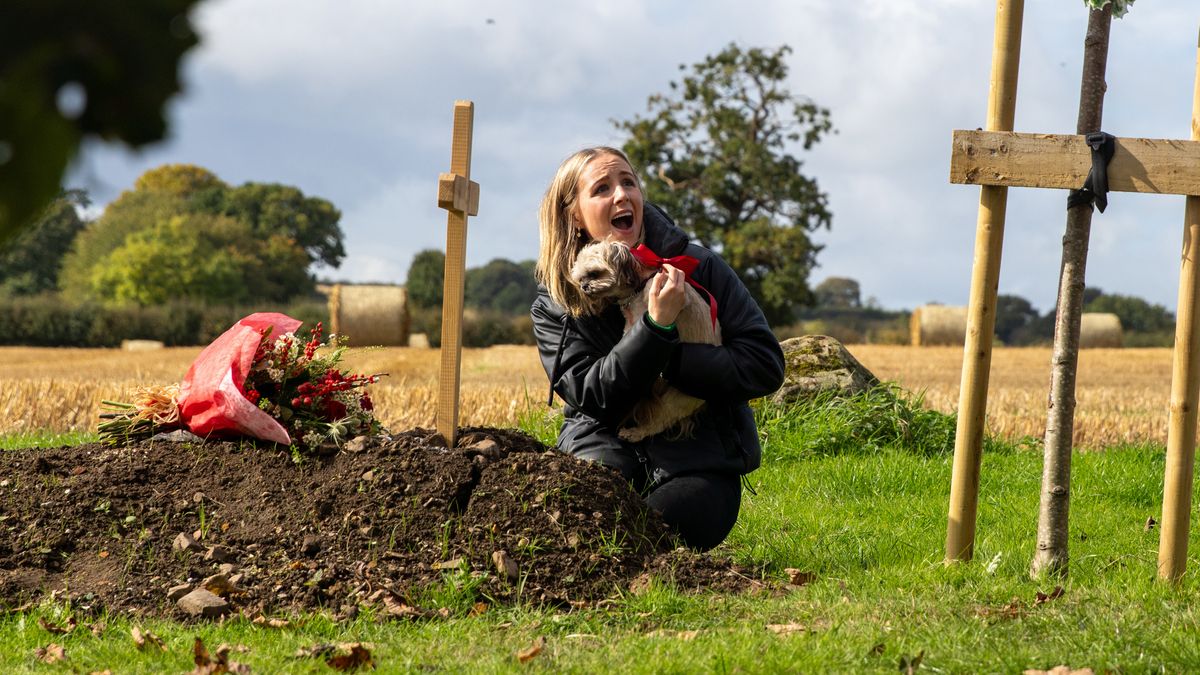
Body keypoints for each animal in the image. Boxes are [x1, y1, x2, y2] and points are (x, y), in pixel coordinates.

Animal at [571, 239, 720, 439]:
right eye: (580, 278)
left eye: (593, 273)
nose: (584, 286)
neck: (639, 287)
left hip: (674, 400)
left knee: (658, 423)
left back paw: (634, 433)